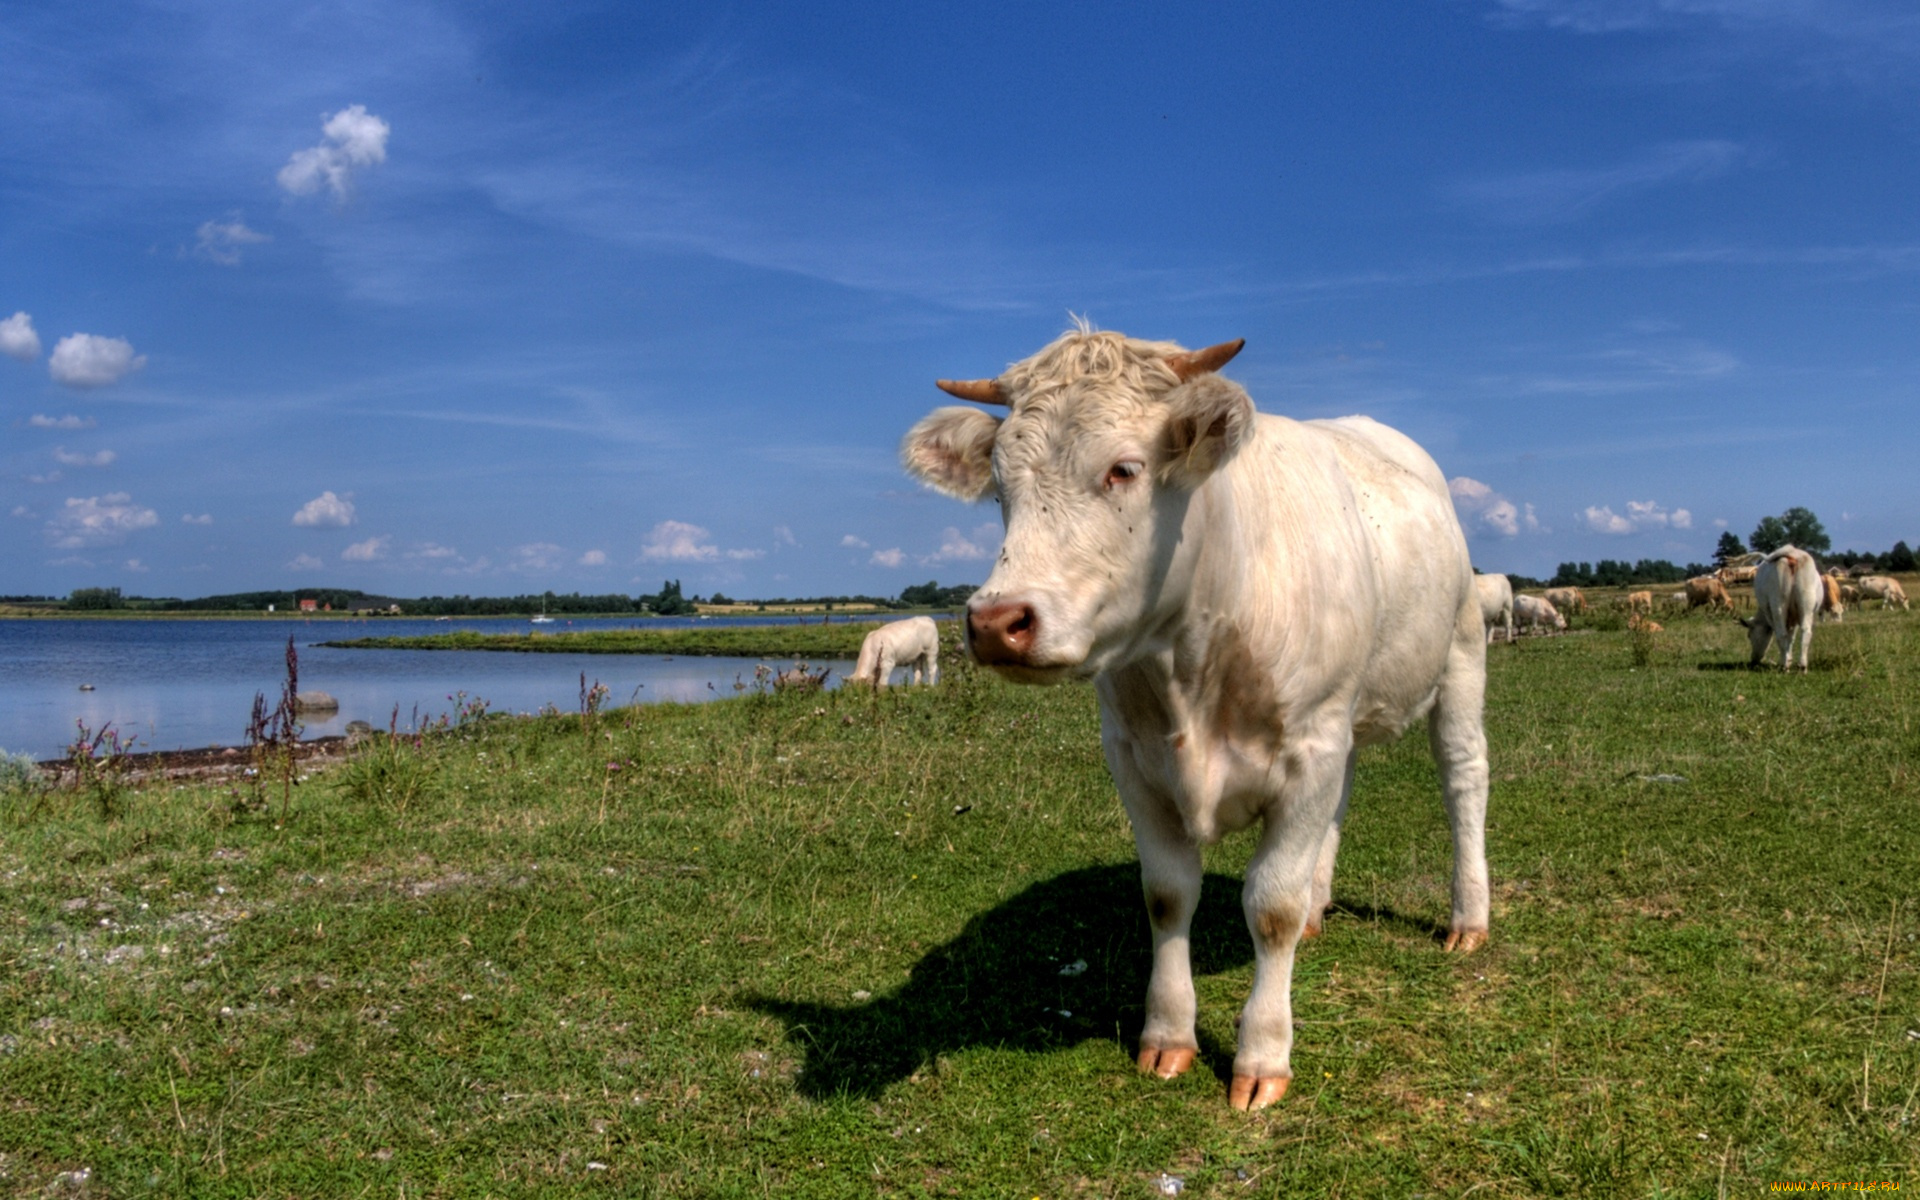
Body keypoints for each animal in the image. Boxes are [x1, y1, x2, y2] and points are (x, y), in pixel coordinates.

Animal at [902, 329, 1490, 1112]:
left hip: (1460, 652)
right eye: (1000, 489)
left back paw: (1468, 918)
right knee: (1343, 797)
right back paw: (1321, 908)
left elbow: (1270, 905)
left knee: (1463, 781)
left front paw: (1263, 1054)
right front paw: (1168, 1035)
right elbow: (1167, 893)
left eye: (1123, 469)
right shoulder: (1132, 756)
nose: (997, 622)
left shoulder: (1308, 746)